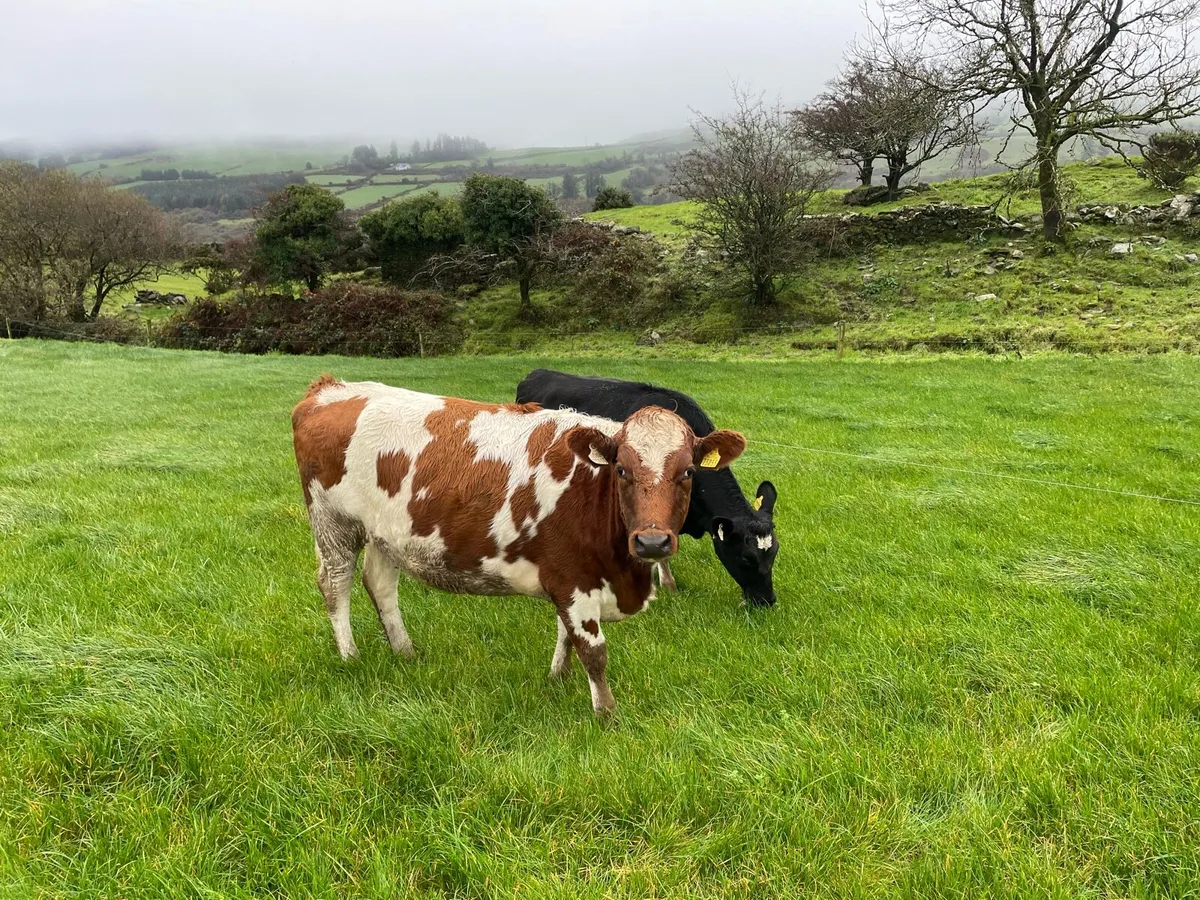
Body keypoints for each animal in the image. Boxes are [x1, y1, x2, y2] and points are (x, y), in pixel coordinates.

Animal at [291, 375, 746, 716]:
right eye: (621, 469)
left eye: (688, 472)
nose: (652, 541)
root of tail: (331, 389)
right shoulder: (573, 577)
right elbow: (593, 650)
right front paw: (606, 714)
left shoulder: (572, 577)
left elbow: (566, 634)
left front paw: (558, 678)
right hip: (333, 523)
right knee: (335, 585)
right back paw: (350, 655)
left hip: (385, 533)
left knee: (381, 586)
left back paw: (405, 652)